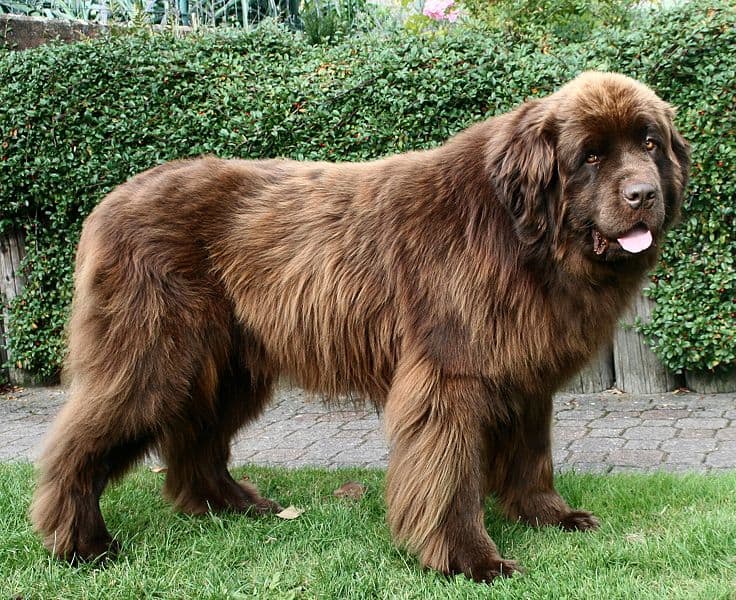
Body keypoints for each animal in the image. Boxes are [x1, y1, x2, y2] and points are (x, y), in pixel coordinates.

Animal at [31, 70, 688, 580]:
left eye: (650, 143)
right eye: (591, 155)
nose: (643, 194)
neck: (521, 233)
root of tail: (110, 200)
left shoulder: (523, 373)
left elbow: (532, 455)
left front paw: (549, 516)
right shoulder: (449, 376)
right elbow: (449, 475)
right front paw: (470, 560)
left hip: (229, 367)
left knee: (197, 438)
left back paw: (229, 506)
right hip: (154, 359)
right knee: (77, 444)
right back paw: (81, 544)